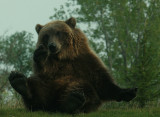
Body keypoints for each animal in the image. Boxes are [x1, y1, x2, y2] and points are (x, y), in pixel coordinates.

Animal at [8, 17, 136, 113]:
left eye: (58, 33)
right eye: (46, 35)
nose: (52, 46)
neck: (64, 56)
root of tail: (53, 106)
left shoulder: (83, 59)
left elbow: (101, 80)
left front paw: (128, 92)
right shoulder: (51, 66)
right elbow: (42, 70)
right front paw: (40, 55)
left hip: (71, 88)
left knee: (84, 89)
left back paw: (72, 101)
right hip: (47, 88)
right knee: (36, 86)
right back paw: (20, 82)